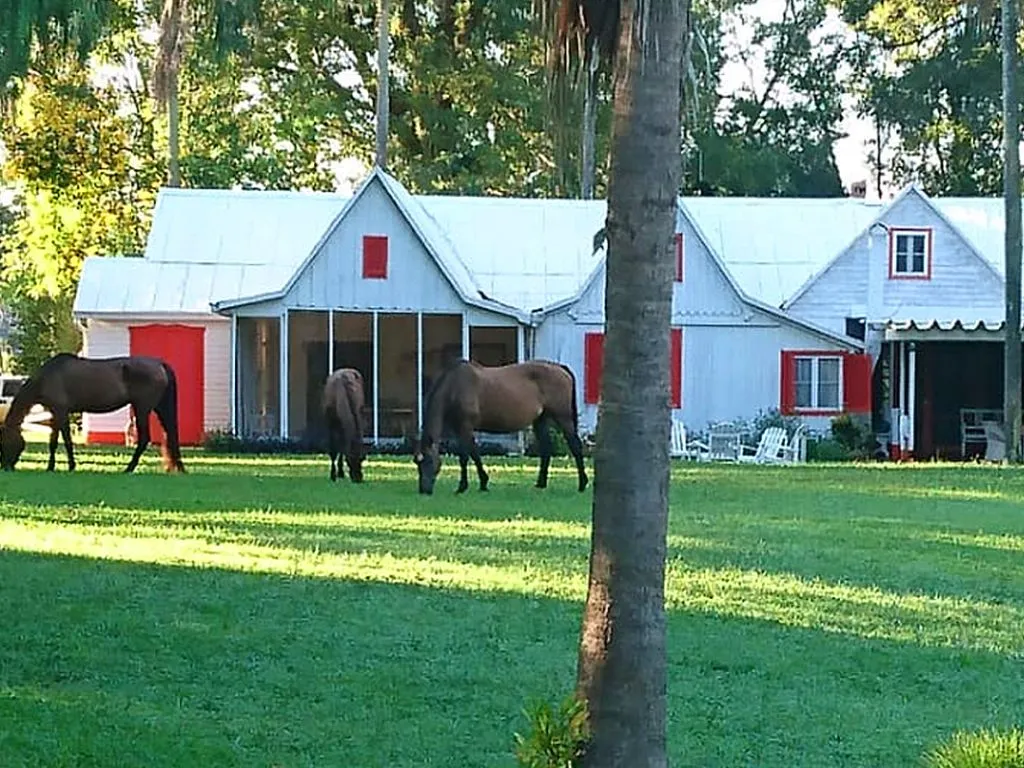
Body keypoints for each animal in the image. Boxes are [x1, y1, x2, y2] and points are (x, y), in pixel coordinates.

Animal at [0, 353, 186, 474]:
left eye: (4, 442)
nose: (6, 466)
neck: (47, 377)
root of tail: (160, 364)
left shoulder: (60, 412)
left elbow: (63, 440)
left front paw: (66, 466)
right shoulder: (56, 413)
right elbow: (56, 441)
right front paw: (55, 467)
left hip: (142, 408)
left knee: (144, 438)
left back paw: (129, 468)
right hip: (159, 408)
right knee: (169, 432)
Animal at [412, 359, 589, 495]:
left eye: (428, 461)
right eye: (416, 462)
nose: (423, 490)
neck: (455, 387)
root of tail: (561, 368)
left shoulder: (465, 427)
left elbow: (467, 456)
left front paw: (465, 486)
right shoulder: (459, 429)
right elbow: (473, 454)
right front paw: (482, 483)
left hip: (563, 418)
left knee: (575, 446)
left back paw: (582, 484)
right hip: (540, 420)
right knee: (546, 449)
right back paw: (541, 484)